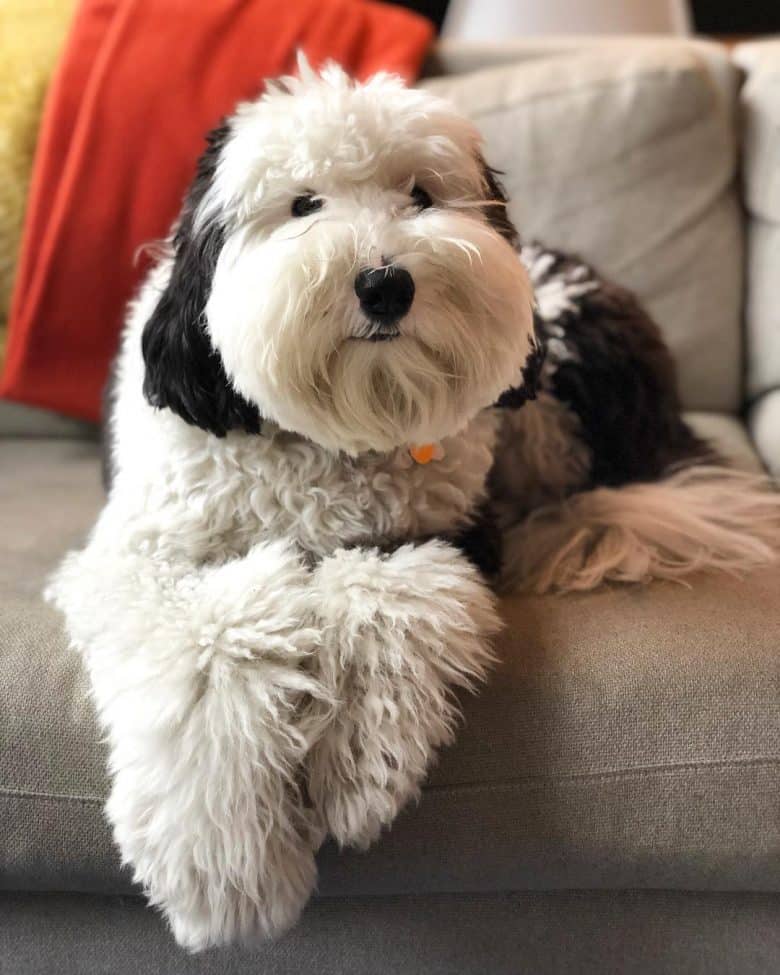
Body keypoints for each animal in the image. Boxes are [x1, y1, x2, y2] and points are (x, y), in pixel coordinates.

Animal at [48, 57, 780, 948]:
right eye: (303, 204)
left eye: (421, 195)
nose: (385, 282)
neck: (335, 438)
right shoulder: (144, 557)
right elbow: (211, 639)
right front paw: (228, 863)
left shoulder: (450, 531)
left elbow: (381, 591)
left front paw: (358, 768)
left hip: (549, 377)